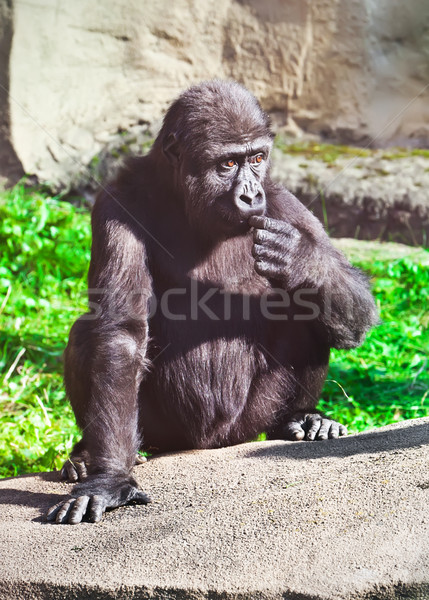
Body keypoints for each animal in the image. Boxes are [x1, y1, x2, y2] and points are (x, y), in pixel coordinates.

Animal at [46, 81, 376, 524]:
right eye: (227, 164)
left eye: (257, 158)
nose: (251, 195)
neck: (182, 195)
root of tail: (208, 445)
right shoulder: (117, 201)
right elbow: (120, 331)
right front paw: (110, 479)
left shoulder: (285, 203)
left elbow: (357, 302)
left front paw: (303, 260)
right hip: (166, 432)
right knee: (89, 331)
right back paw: (88, 456)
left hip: (246, 424)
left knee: (309, 309)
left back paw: (299, 419)